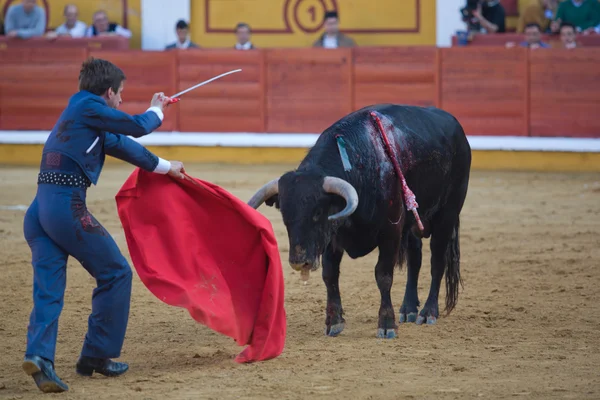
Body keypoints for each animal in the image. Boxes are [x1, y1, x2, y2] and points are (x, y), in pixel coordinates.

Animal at [246, 104, 472, 338]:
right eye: (285, 216)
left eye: (318, 213)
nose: (300, 262)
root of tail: (455, 125)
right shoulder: (333, 236)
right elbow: (330, 275)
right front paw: (334, 322)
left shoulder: (390, 231)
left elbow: (383, 275)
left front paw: (387, 324)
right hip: (413, 223)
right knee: (415, 259)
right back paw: (408, 309)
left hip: (448, 213)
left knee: (437, 261)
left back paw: (428, 313)